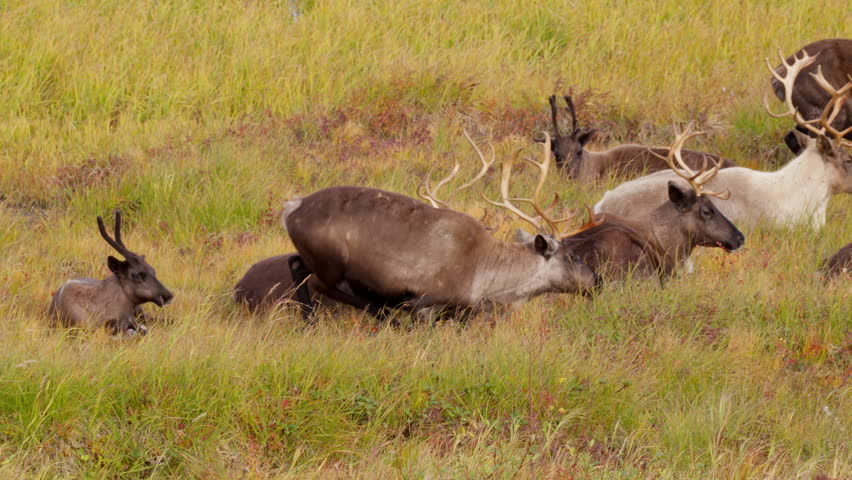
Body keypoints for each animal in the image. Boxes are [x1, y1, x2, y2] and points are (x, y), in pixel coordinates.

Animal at [281, 132, 601, 319]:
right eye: (573, 255)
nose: (596, 281)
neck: (486, 275)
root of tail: (291, 207)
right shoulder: (426, 303)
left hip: (314, 256)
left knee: (296, 264)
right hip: (332, 262)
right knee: (321, 284)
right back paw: (380, 314)